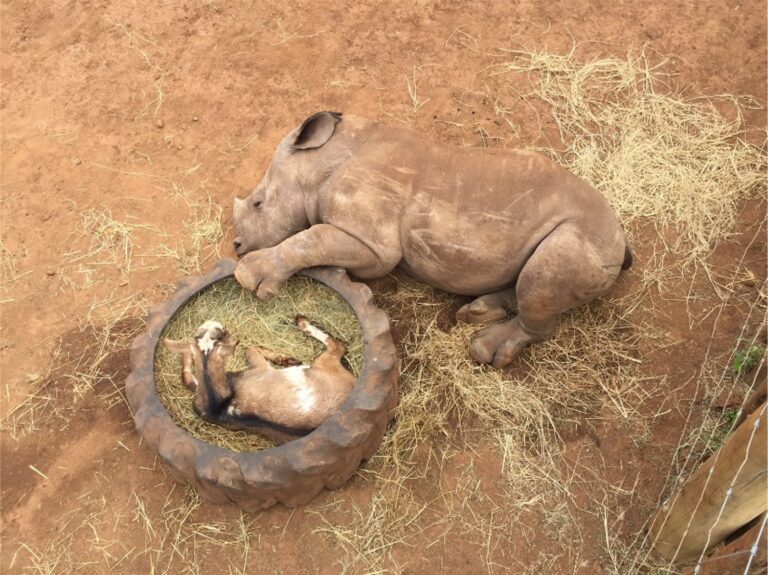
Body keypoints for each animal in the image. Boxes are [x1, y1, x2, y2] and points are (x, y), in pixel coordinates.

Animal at [233, 111, 632, 368]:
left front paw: (248, 276)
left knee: (541, 281)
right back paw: (477, 312)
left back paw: (484, 350)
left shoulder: (373, 245)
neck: (320, 162)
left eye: (258, 203)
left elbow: (311, 238)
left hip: (585, 238)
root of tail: (621, 240)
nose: (235, 246)